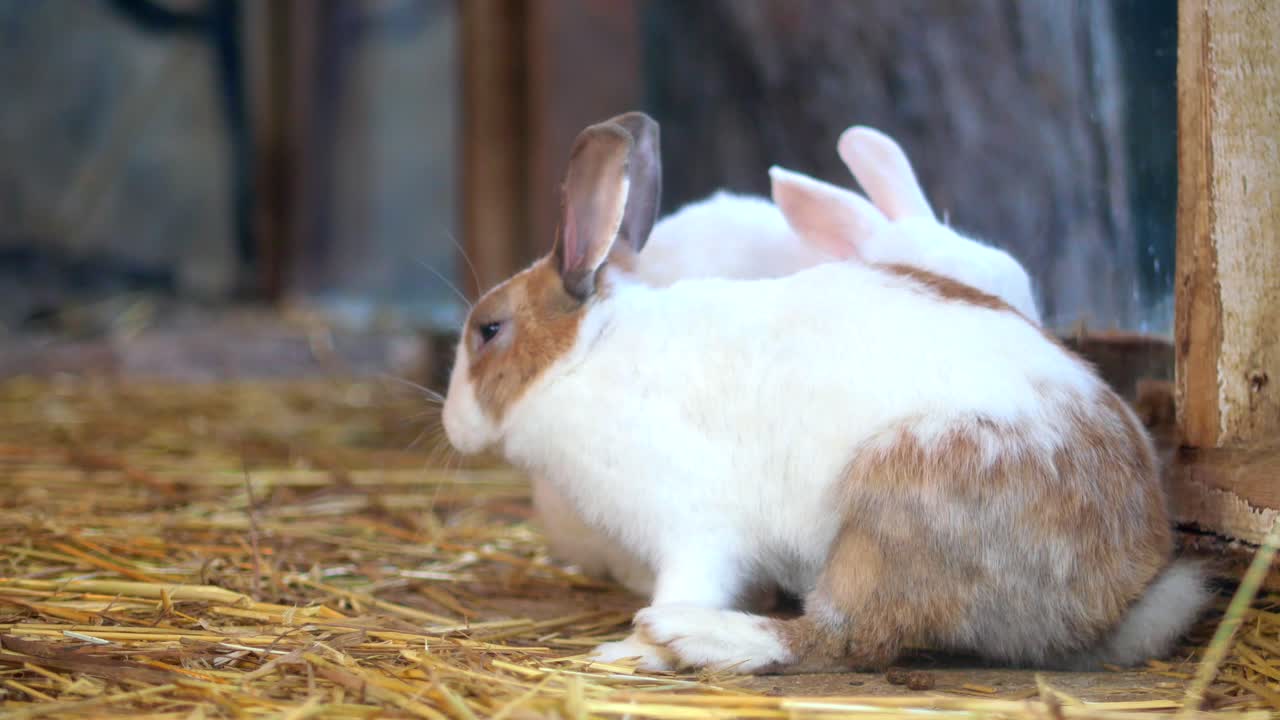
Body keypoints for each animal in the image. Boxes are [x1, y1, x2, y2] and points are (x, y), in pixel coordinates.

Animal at [446, 110, 1207, 673]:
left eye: (488, 330)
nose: (452, 424)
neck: (587, 355)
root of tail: (1124, 584)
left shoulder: (694, 533)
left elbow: (692, 578)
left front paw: (629, 651)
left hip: (889, 511)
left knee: (838, 637)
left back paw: (694, 636)